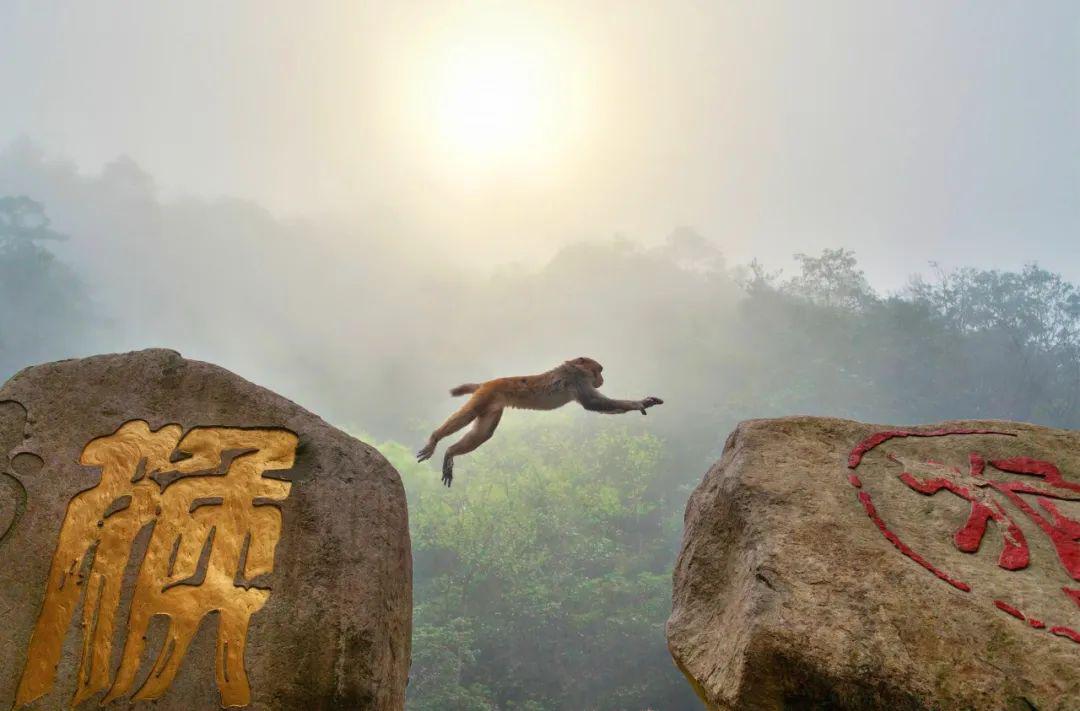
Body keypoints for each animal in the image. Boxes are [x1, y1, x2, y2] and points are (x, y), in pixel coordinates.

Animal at [416, 356, 660, 484]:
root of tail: (485, 383)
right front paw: (639, 404)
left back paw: (450, 452)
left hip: (492, 406)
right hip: (485, 396)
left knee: (482, 434)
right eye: (598, 370)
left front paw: (644, 403)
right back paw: (435, 438)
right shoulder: (578, 381)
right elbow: (594, 403)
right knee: (468, 414)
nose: (602, 379)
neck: (574, 369)